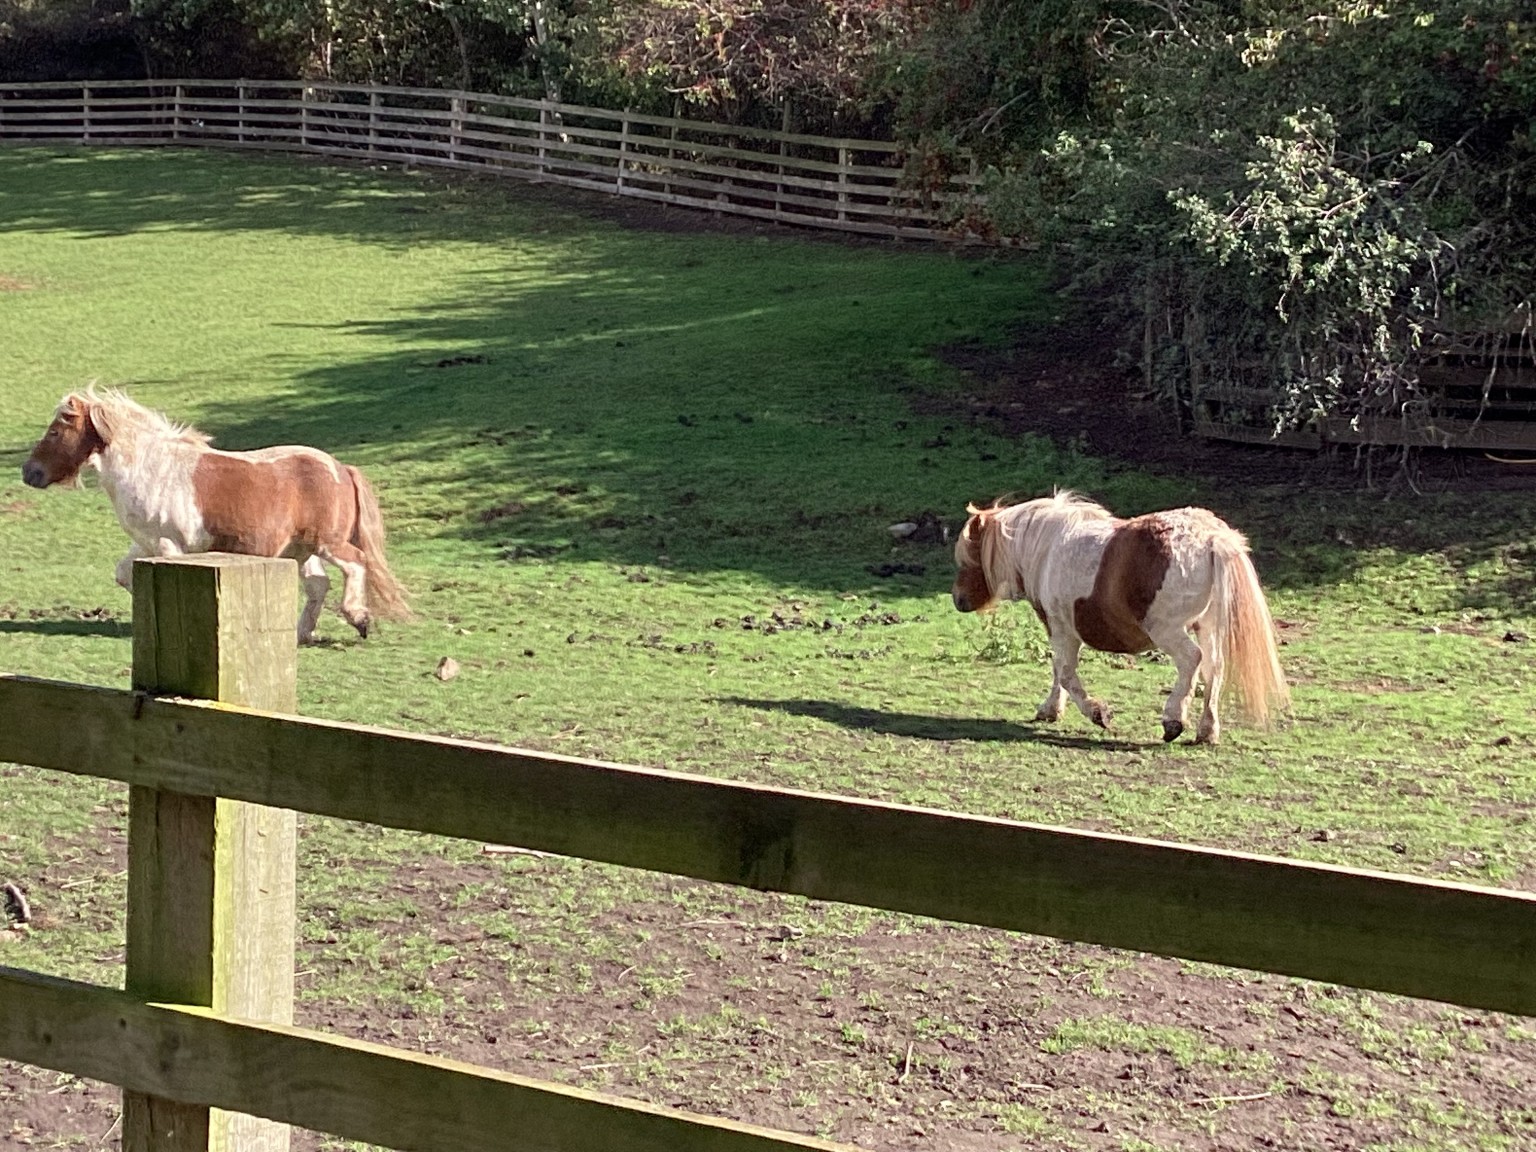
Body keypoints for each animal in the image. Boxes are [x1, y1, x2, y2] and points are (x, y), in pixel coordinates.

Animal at [21, 387, 410, 644]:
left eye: (55, 431)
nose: (29, 473)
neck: (152, 469)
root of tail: (341, 468)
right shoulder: (145, 543)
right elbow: (124, 575)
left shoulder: (169, 545)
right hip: (300, 550)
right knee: (318, 585)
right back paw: (301, 633)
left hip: (327, 543)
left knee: (355, 563)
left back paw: (358, 618)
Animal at [951, 490, 1288, 744]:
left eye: (969, 556)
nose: (958, 600)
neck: (1047, 549)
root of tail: (1210, 538)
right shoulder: (1063, 631)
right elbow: (1059, 671)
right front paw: (1051, 710)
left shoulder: (1061, 628)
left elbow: (1065, 673)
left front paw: (1097, 713)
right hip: (1207, 626)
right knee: (1213, 668)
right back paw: (1207, 730)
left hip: (1168, 630)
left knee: (1192, 660)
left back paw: (1173, 720)